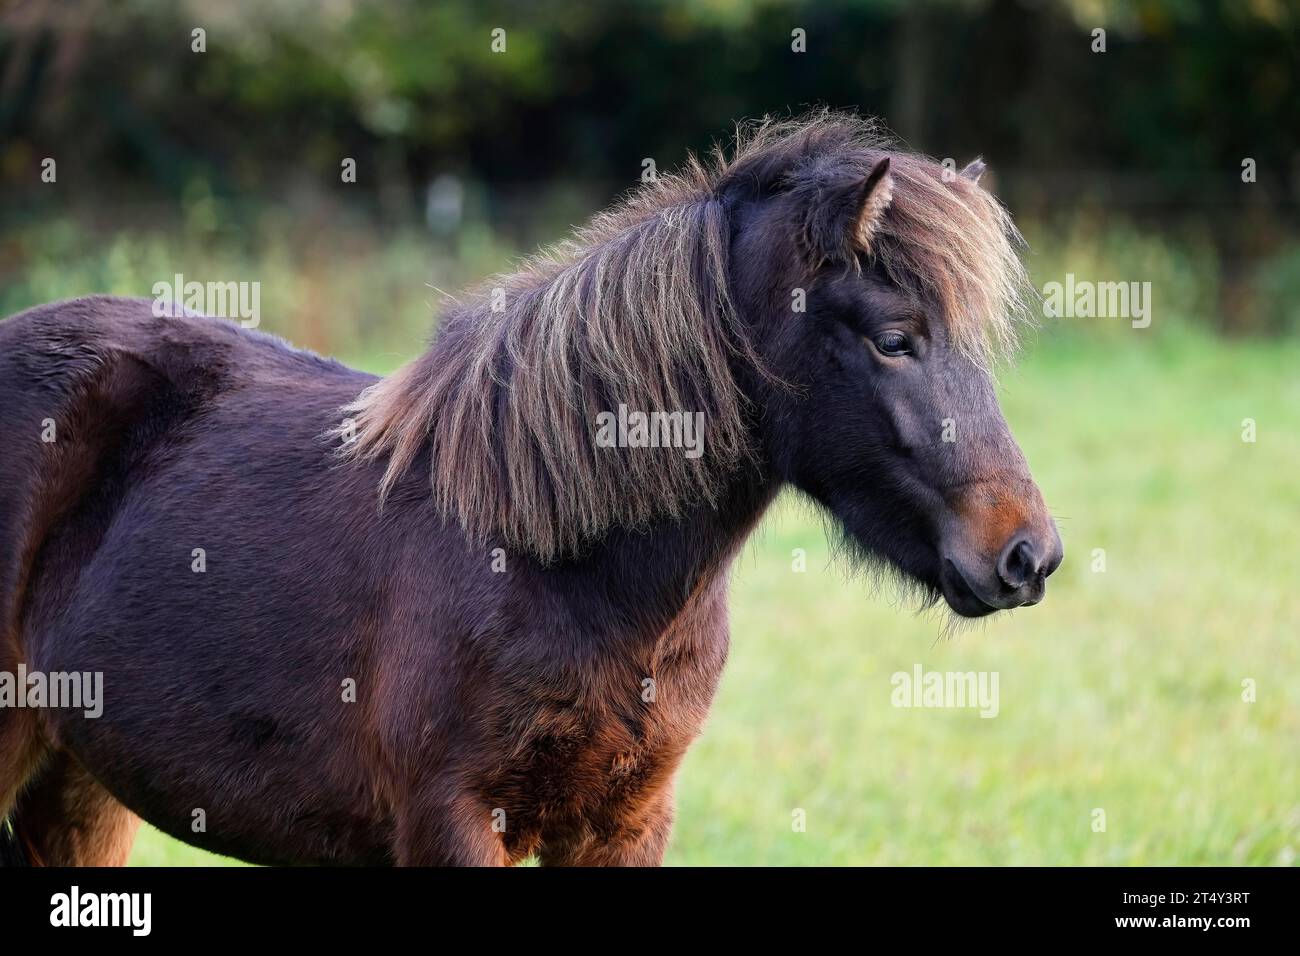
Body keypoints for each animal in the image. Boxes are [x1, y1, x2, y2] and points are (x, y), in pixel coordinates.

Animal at [0, 114, 1062, 867]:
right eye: (895, 338)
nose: (1028, 554)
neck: (558, 561)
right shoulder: (455, 823)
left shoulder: (626, 825)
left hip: (77, 786)